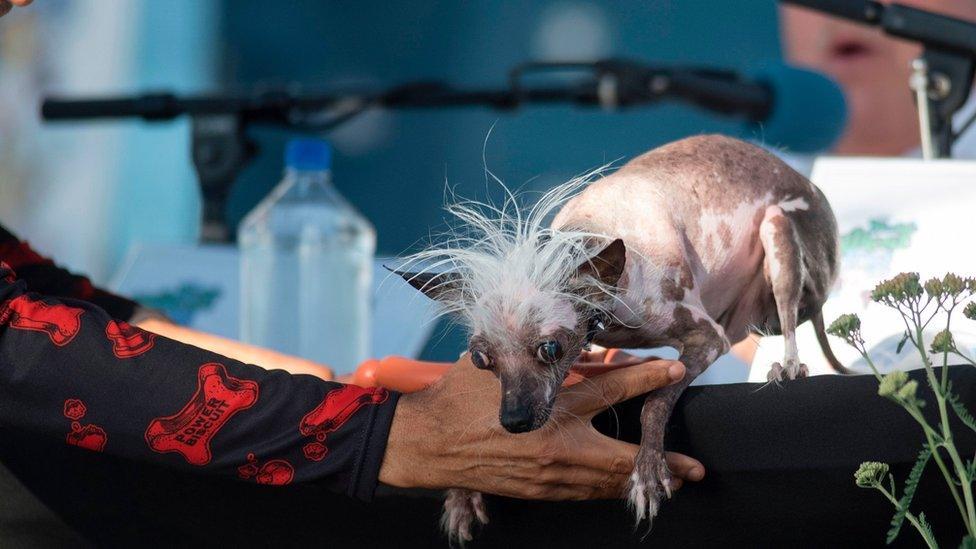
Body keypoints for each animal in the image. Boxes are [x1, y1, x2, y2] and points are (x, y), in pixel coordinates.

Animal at [396, 135, 848, 540]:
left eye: (550, 348)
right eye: (480, 360)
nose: (515, 421)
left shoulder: (708, 337)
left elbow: (654, 402)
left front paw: (647, 471)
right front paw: (462, 490)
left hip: (780, 233)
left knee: (788, 318)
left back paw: (789, 365)